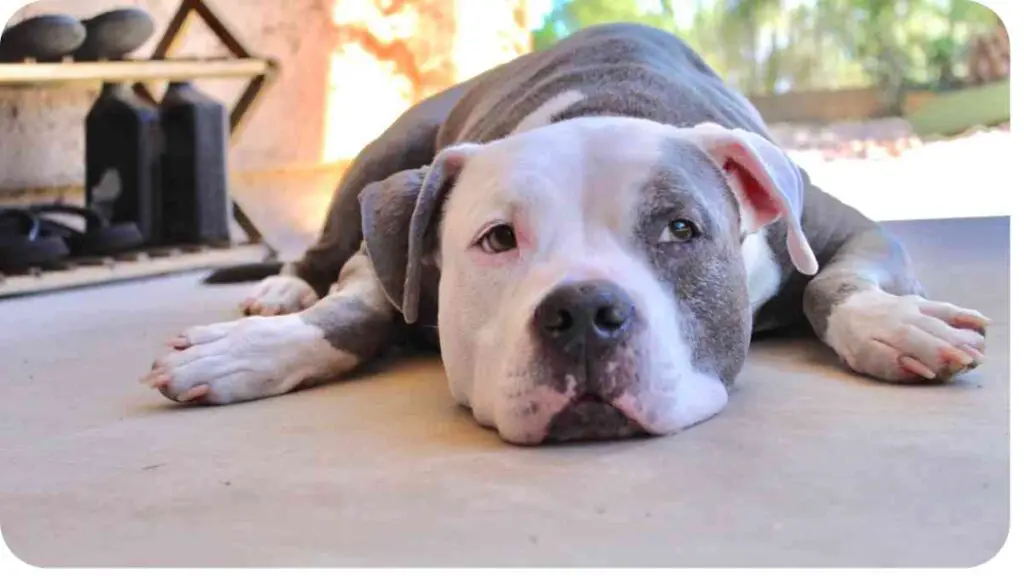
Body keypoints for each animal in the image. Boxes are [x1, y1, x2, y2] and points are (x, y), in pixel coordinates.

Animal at [140, 23, 987, 444]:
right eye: (497, 240)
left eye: (682, 229)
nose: (584, 314)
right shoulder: (386, 252)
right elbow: (356, 307)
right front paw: (255, 351)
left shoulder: (841, 229)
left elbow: (835, 283)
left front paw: (895, 327)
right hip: (382, 159)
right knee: (320, 248)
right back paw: (279, 292)